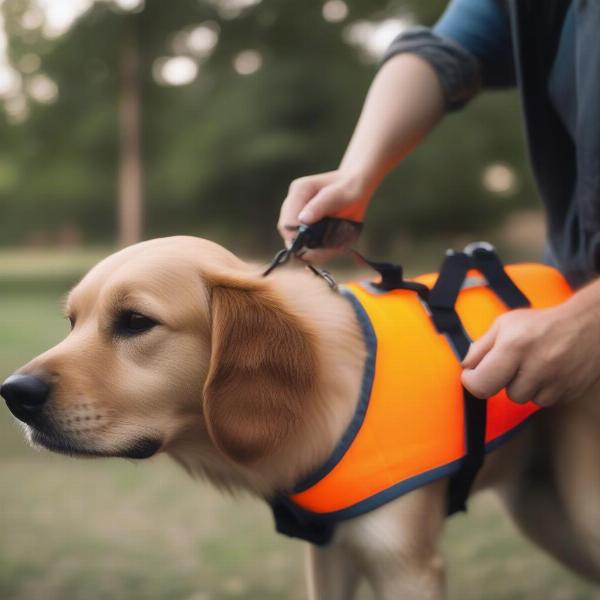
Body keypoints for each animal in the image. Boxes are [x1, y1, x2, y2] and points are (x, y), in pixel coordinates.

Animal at [1, 237, 600, 596]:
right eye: (73, 322)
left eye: (134, 321)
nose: (13, 393)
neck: (320, 397)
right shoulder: (330, 553)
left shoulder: (406, 565)